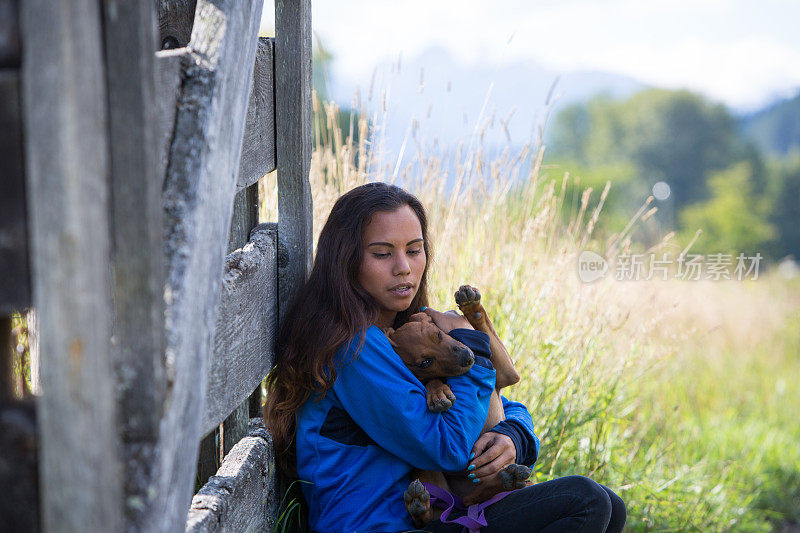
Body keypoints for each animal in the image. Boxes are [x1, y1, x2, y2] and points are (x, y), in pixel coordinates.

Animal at [382, 284, 532, 524]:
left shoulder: (507, 372)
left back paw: (506, 480)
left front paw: (472, 306)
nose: (468, 357)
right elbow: (432, 380)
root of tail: (461, 505)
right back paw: (419, 504)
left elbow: (484, 327)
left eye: (438, 334)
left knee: (475, 498)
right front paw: (437, 392)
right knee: (438, 513)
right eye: (425, 362)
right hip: (427, 472)